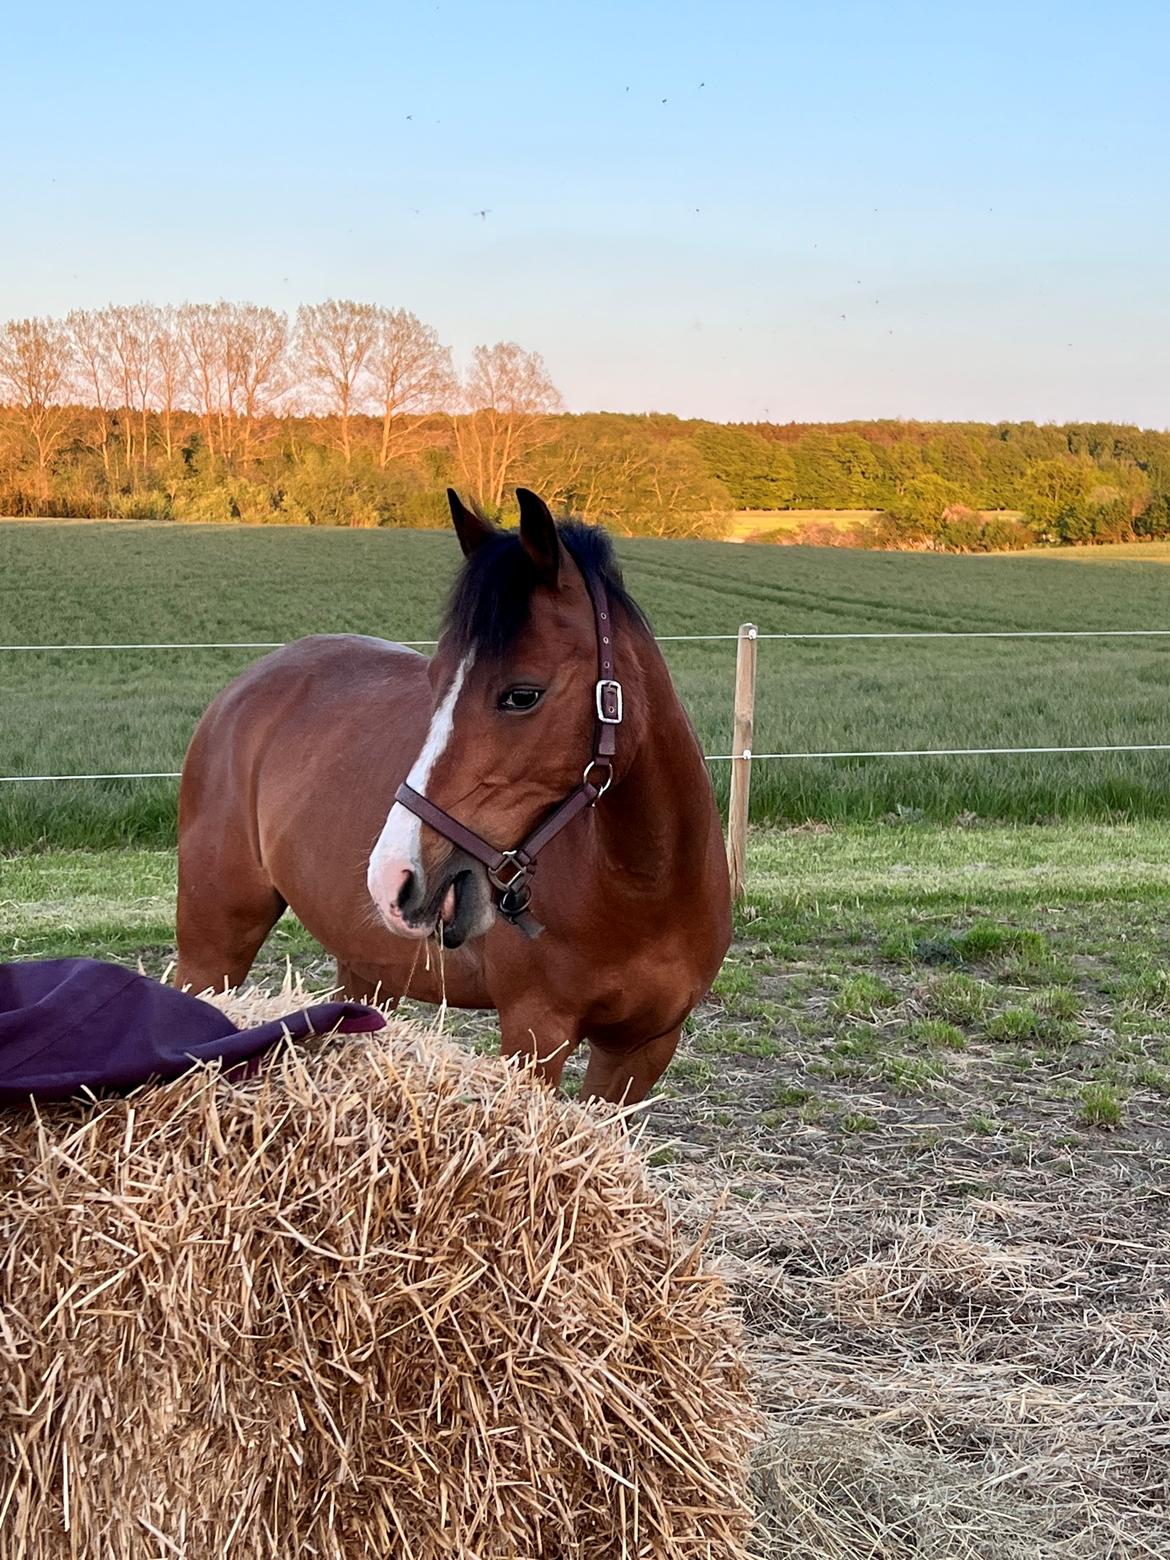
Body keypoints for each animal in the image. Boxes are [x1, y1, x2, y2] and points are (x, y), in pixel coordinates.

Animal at [175, 486, 733, 1098]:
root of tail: (242, 689)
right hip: (214, 945)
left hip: (365, 967)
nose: (393, 875)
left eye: (522, 694)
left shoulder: (642, 1049)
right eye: (434, 679)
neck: (645, 889)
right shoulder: (535, 1031)